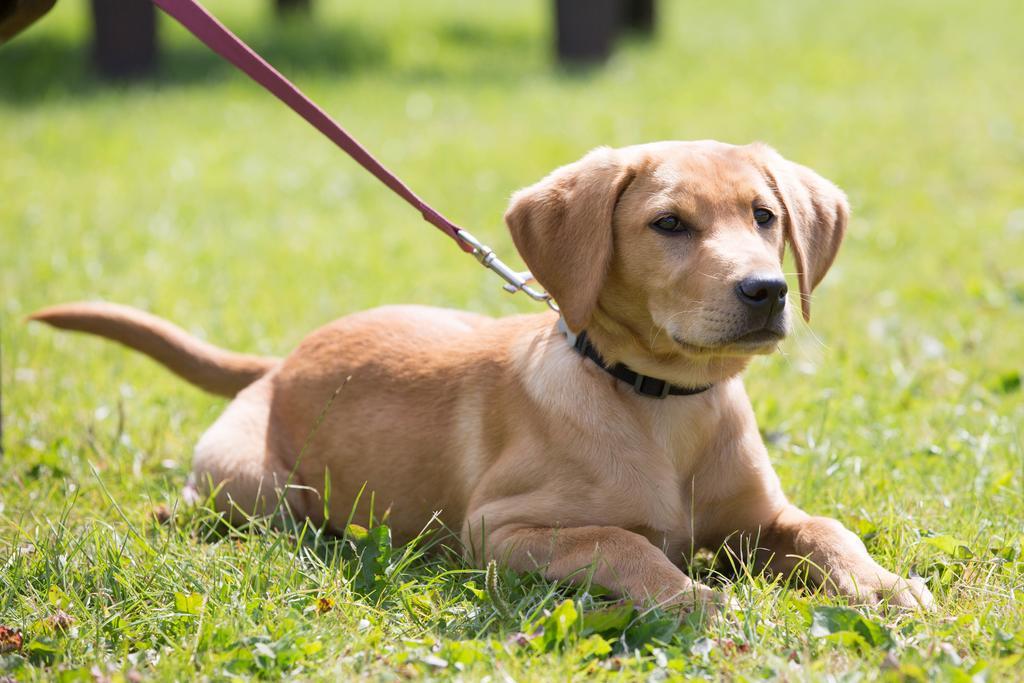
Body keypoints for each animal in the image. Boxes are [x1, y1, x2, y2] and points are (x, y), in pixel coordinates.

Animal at [32, 141, 933, 610]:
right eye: (670, 224)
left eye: (766, 216)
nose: (767, 290)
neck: (664, 406)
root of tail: (281, 360)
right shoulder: (501, 530)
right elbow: (623, 542)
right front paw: (697, 598)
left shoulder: (765, 518)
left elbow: (829, 530)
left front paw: (889, 585)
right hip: (259, 488)